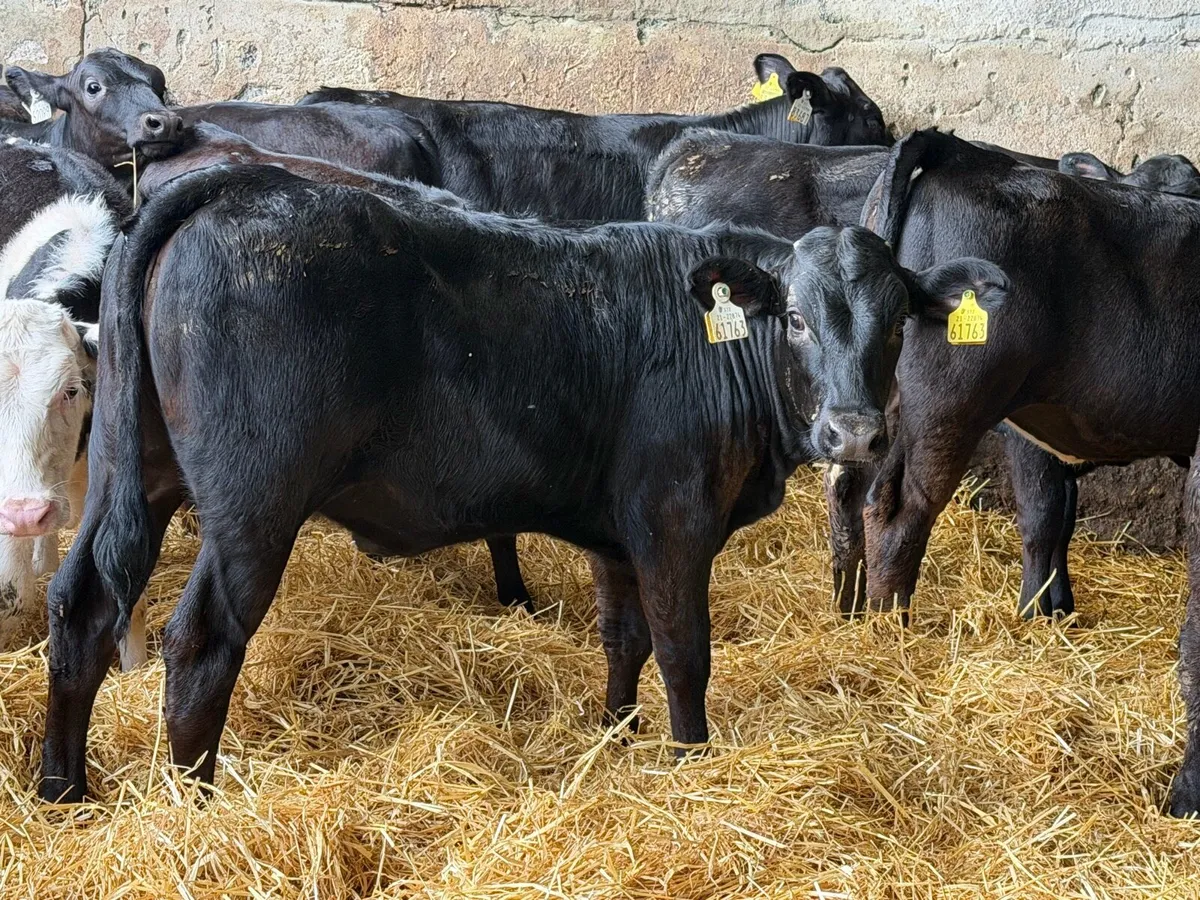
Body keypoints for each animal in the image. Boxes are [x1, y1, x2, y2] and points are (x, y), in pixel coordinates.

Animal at [38, 164, 1004, 801]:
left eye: (896, 323)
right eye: (797, 318)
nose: (856, 432)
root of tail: (235, 186)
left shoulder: (617, 531)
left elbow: (624, 639)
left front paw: (617, 735)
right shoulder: (674, 519)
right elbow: (684, 650)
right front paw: (691, 763)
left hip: (134, 469)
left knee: (82, 605)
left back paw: (64, 787)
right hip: (253, 505)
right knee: (200, 639)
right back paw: (195, 802)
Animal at [811, 128, 1200, 817]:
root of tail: (956, 151)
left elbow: (1053, 516)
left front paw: (1050, 612)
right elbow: (1047, 515)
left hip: (877, 395)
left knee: (846, 488)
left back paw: (849, 610)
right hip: (952, 401)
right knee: (896, 511)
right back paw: (889, 636)